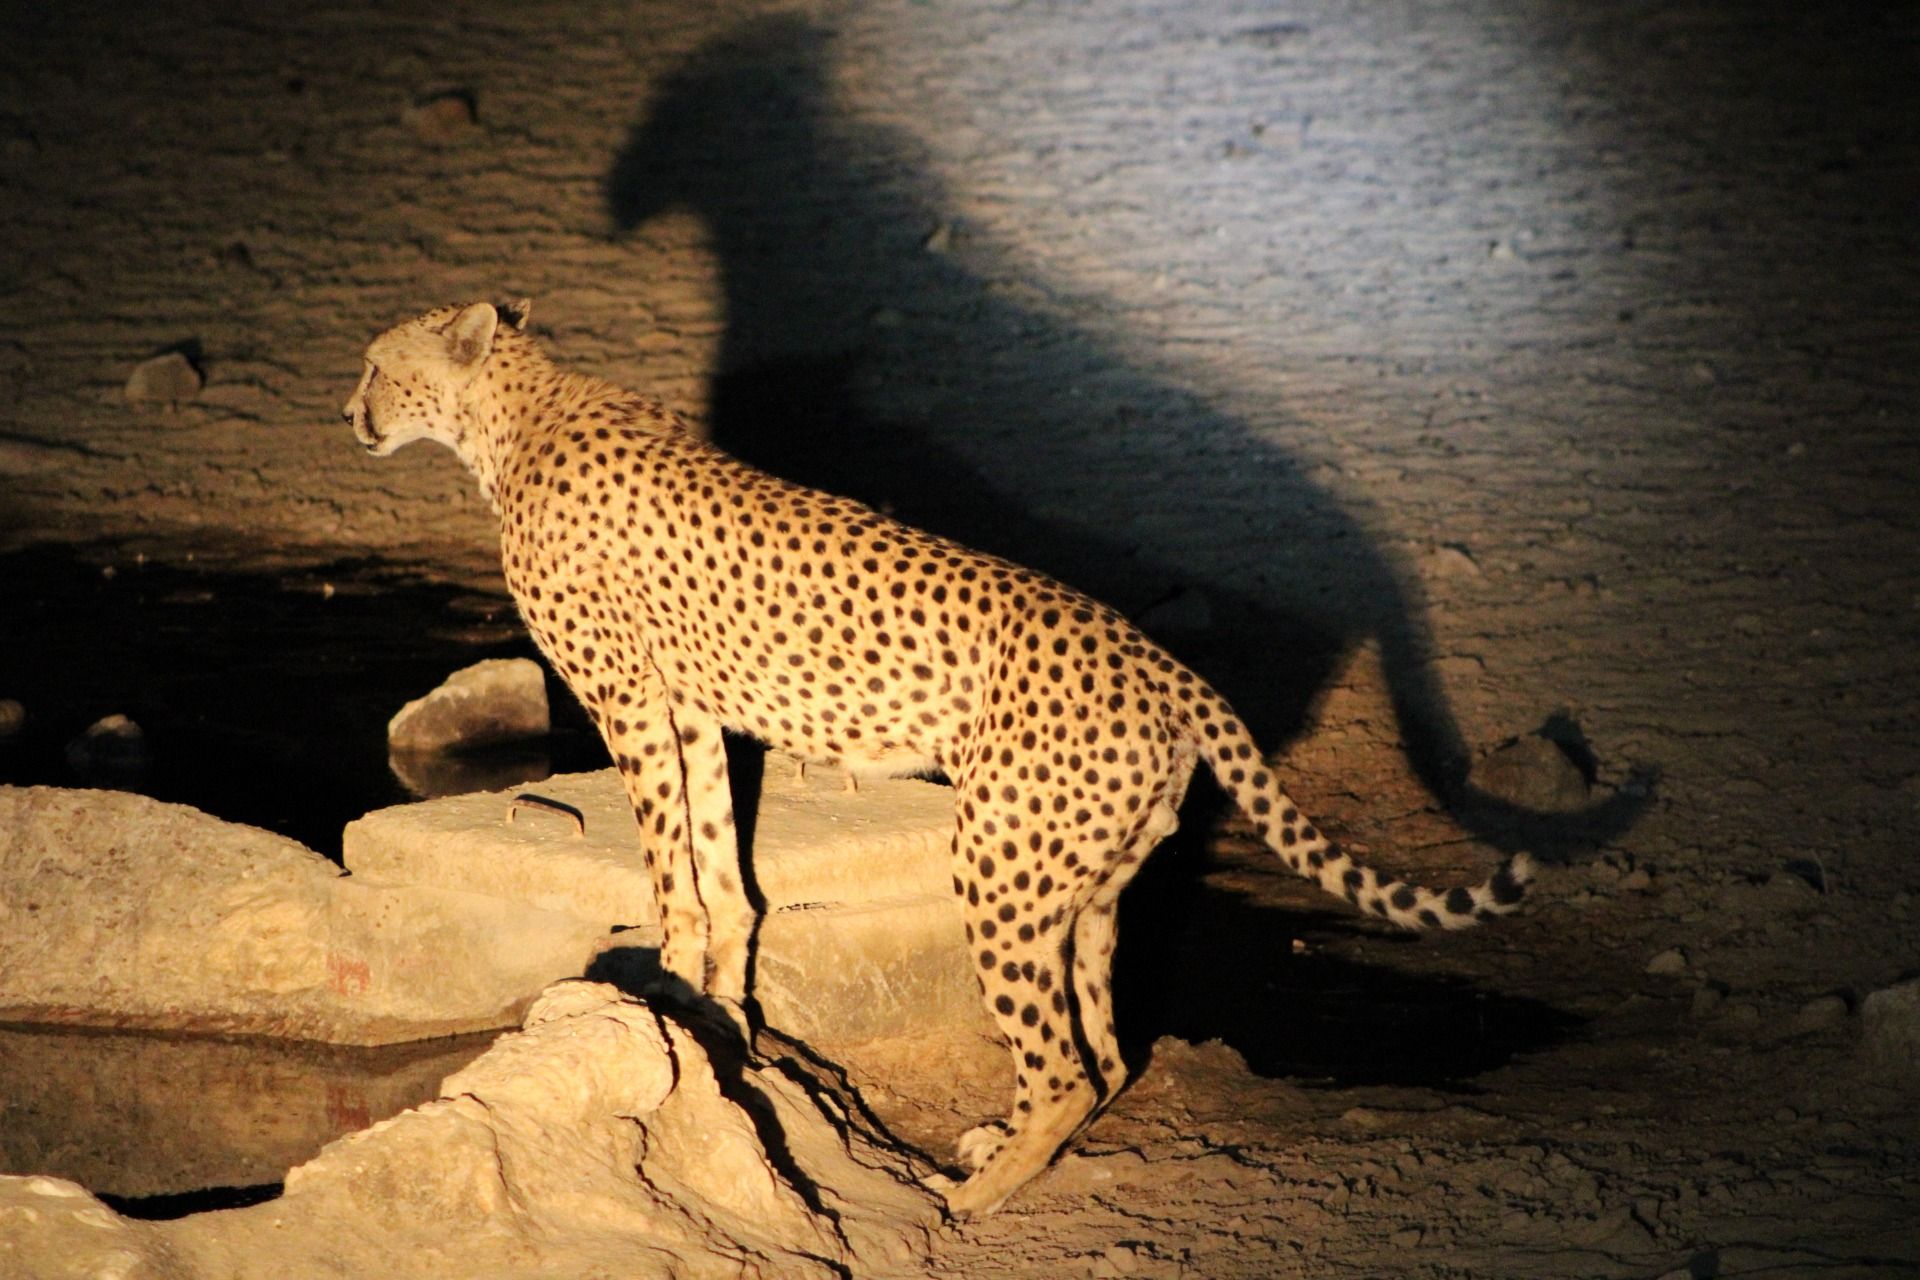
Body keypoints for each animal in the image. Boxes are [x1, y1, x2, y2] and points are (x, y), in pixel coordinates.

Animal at [342, 300, 1533, 1217]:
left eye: (373, 365)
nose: (347, 412)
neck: (515, 413)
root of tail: (1169, 667)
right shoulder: (692, 707)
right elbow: (722, 866)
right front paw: (715, 1016)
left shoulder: (629, 700)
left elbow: (672, 866)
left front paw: (671, 990)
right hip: (1084, 886)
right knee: (1106, 1054)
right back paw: (997, 1144)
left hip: (997, 866)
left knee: (1063, 1070)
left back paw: (974, 1197)